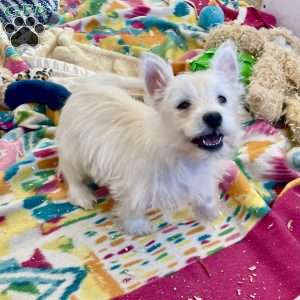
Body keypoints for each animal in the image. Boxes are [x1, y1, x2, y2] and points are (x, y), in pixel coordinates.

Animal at [56, 41, 244, 236]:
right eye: (183, 105)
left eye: (222, 99)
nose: (213, 117)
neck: (185, 156)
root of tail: (89, 84)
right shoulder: (133, 187)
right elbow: (133, 209)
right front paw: (138, 227)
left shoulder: (203, 179)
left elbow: (206, 196)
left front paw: (210, 214)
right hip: (74, 152)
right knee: (70, 173)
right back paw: (82, 195)